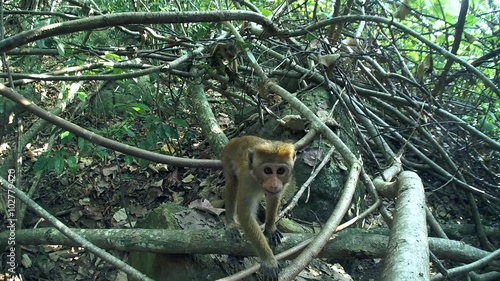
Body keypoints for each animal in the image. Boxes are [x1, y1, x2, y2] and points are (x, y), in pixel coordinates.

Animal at [221, 135, 294, 278]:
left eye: (280, 171)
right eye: (267, 170)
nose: (274, 184)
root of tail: (237, 139)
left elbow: (274, 198)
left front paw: (270, 229)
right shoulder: (247, 180)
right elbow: (245, 215)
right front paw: (268, 260)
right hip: (226, 157)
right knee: (232, 181)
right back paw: (231, 223)